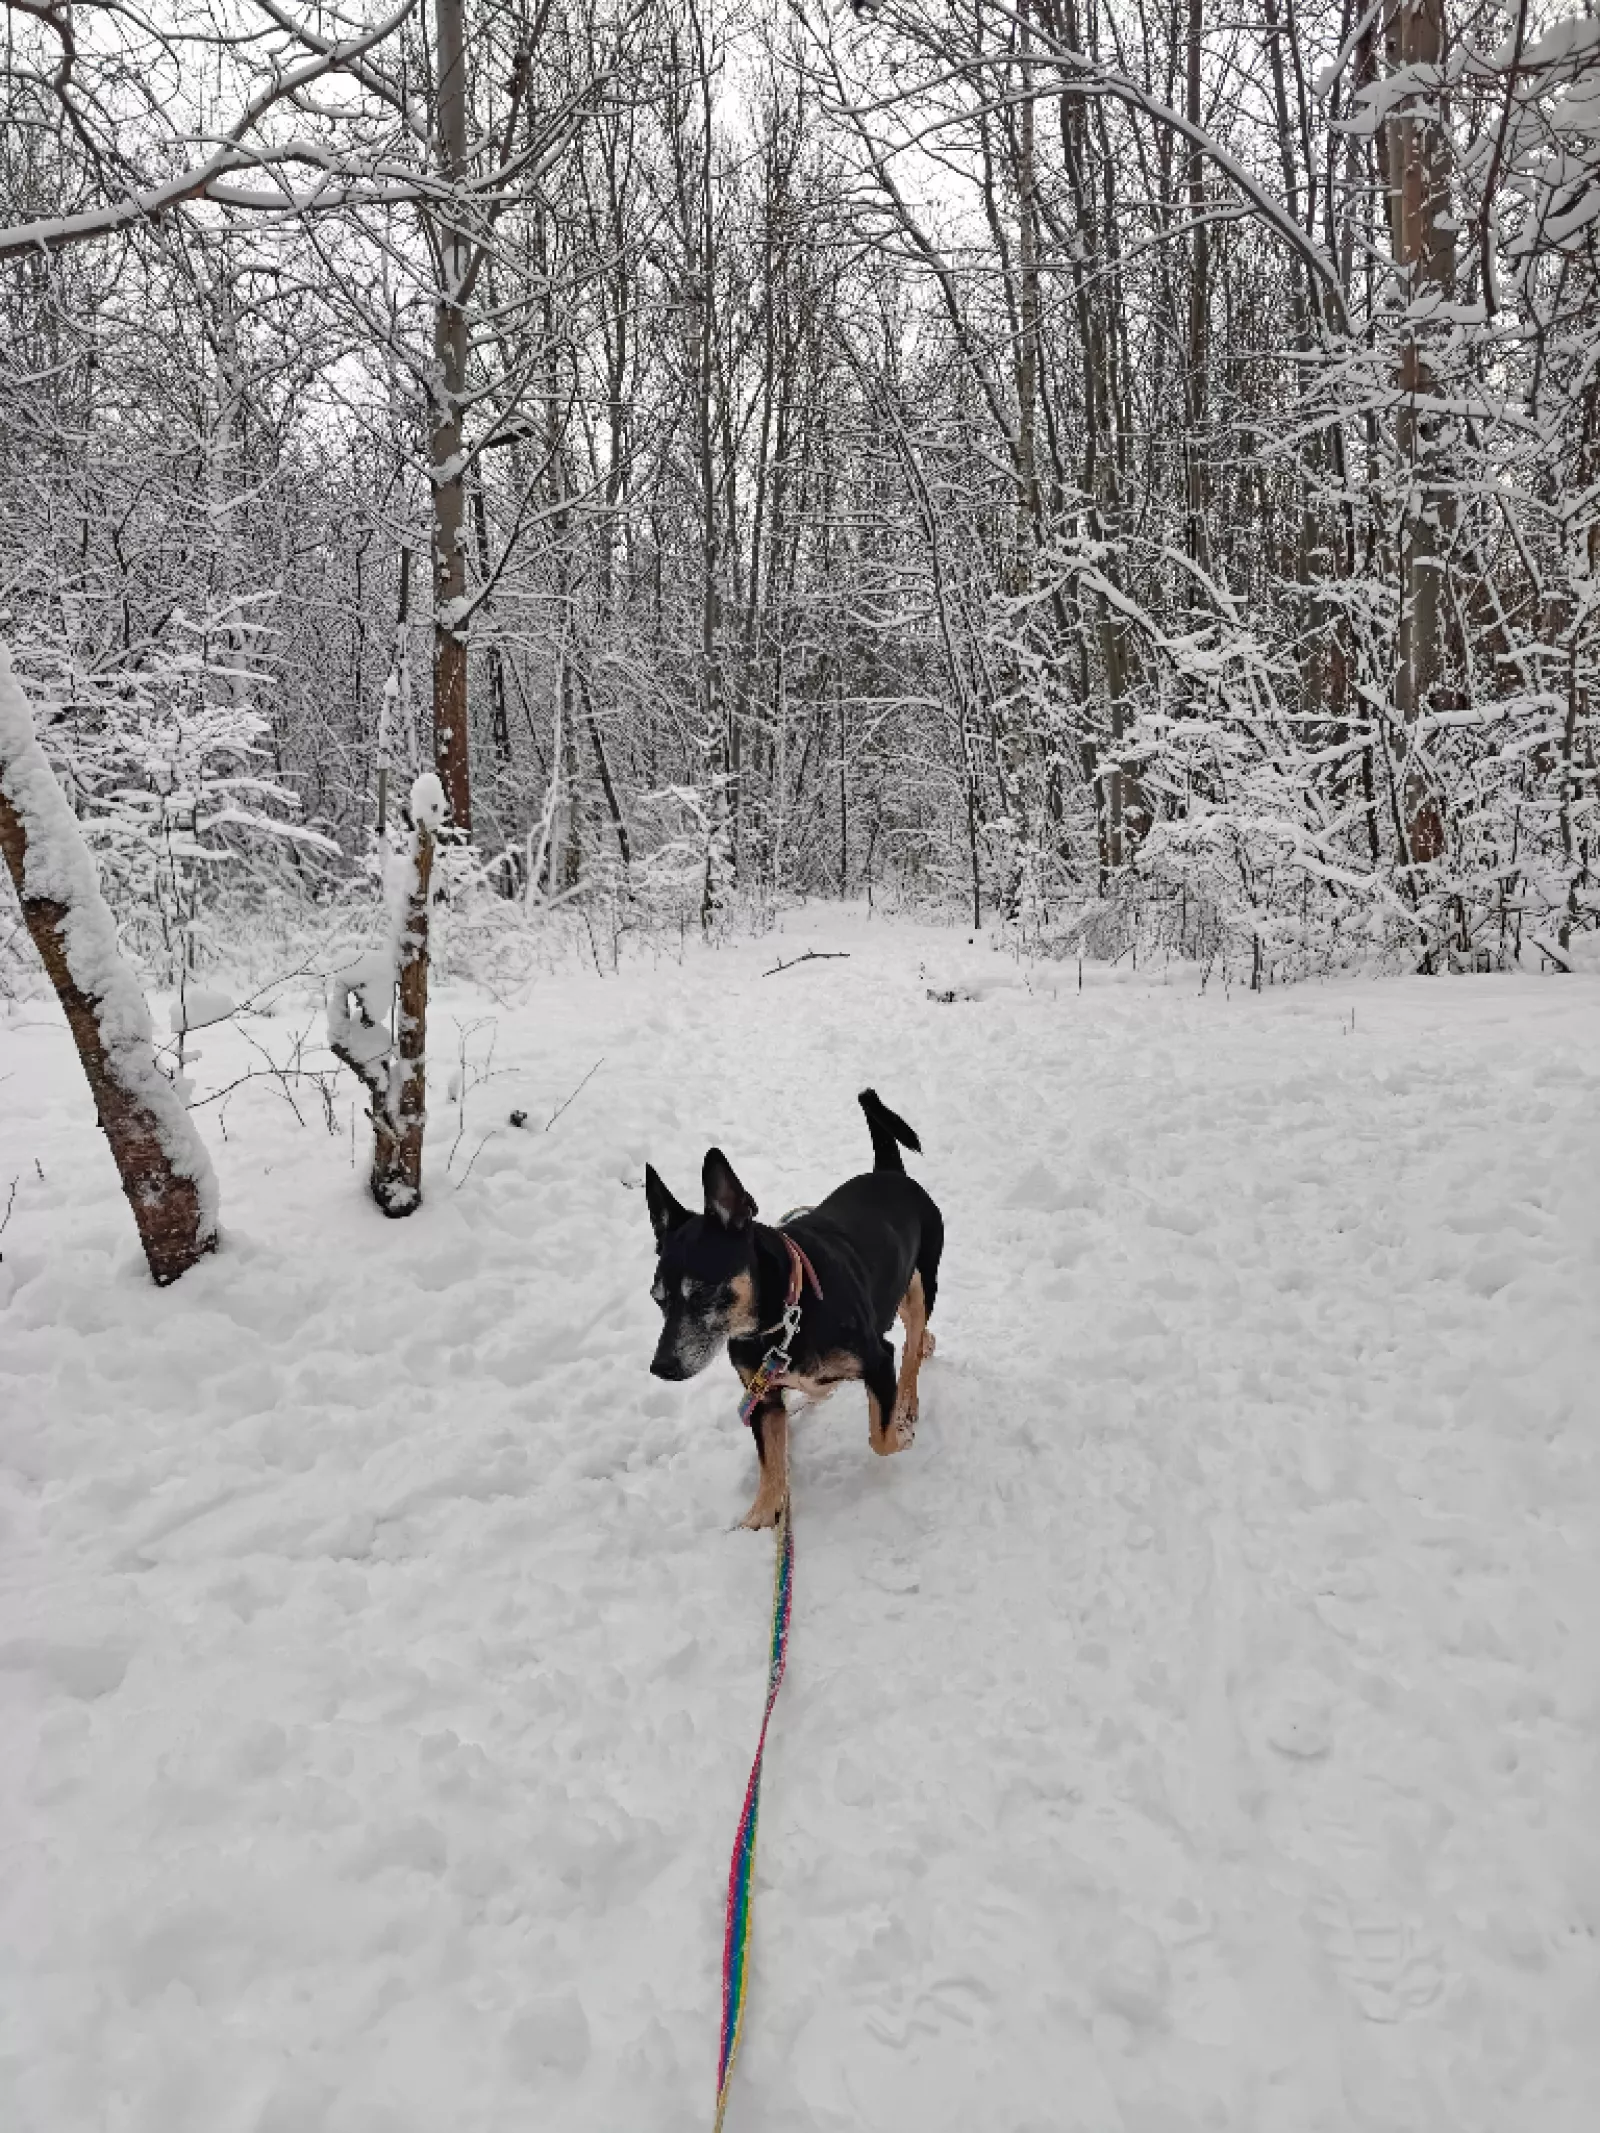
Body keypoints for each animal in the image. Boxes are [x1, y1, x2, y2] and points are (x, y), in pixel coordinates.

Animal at [644, 1090, 943, 1528]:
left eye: (702, 1292)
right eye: (658, 1298)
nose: (661, 1367)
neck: (783, 1321)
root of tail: (888, 1169)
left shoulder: (876, 1359)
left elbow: (880, 1437)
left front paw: (901, 1435)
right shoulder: (762, 1396)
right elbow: (770, 1468)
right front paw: (756, 1522)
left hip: (921, 1281)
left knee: (912, 1342)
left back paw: (908, 1399)